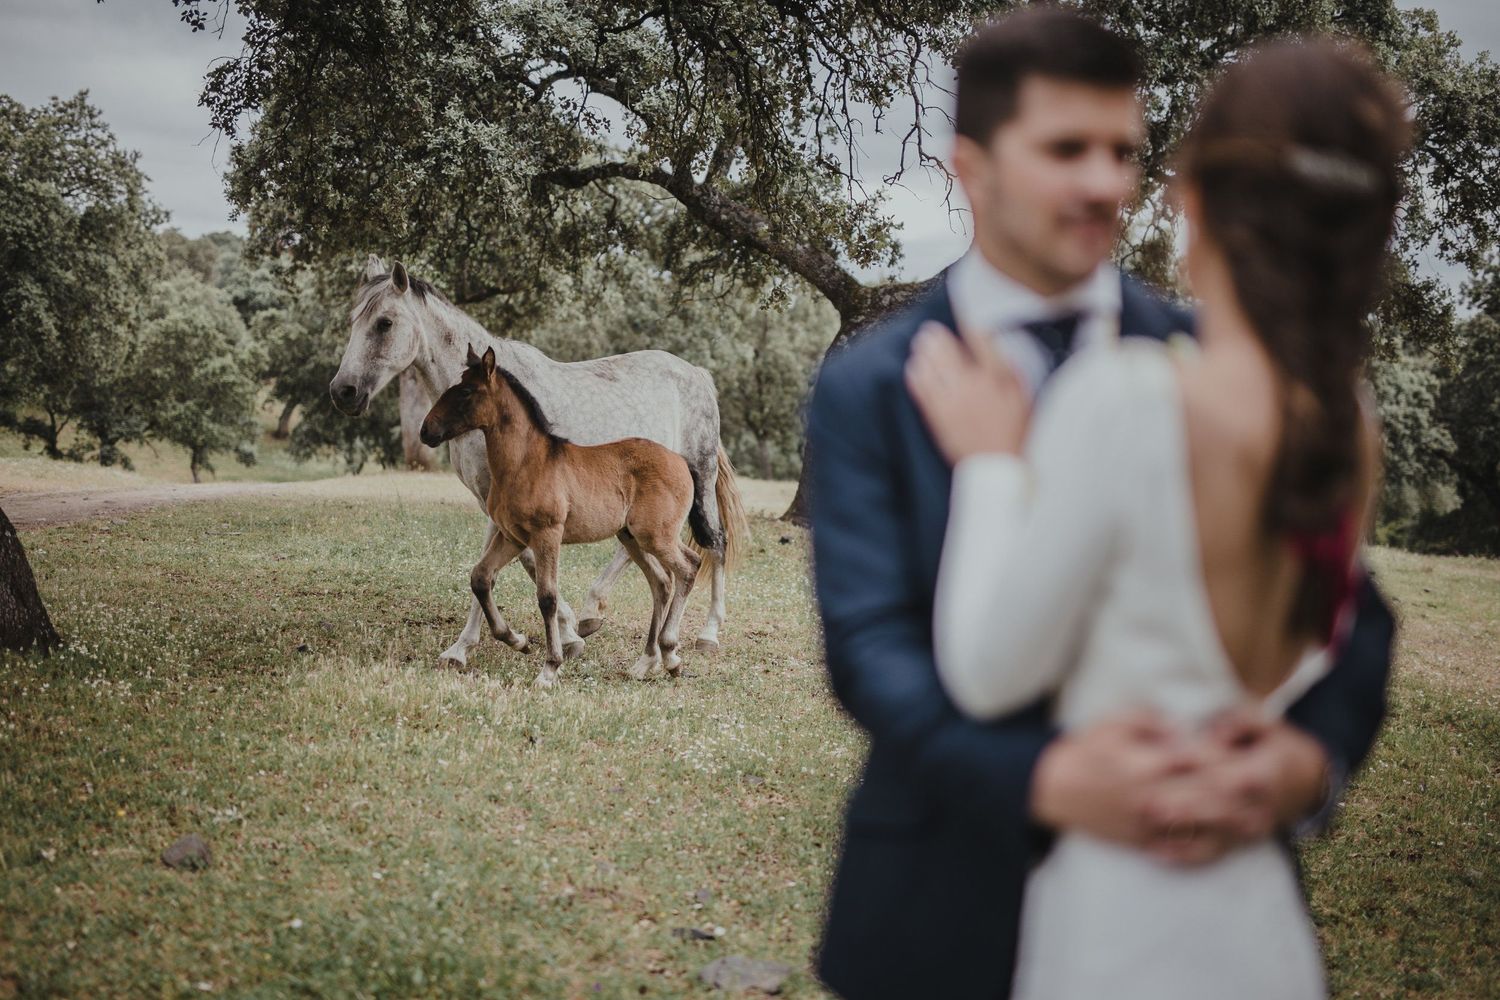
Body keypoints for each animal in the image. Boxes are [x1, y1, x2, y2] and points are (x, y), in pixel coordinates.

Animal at [421, 345, 703, 685]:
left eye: (466, 392)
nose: (426, 431)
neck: (526, 463)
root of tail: (681, 462)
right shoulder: (512, 537)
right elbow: (481, 577)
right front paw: (517, 641)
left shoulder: (548, 534)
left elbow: (547, 598)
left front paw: (550, 668)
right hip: (633, 536)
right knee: (661, 582)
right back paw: (646, 662)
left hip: (656, 535)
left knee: (688, 567)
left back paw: (671, 654)